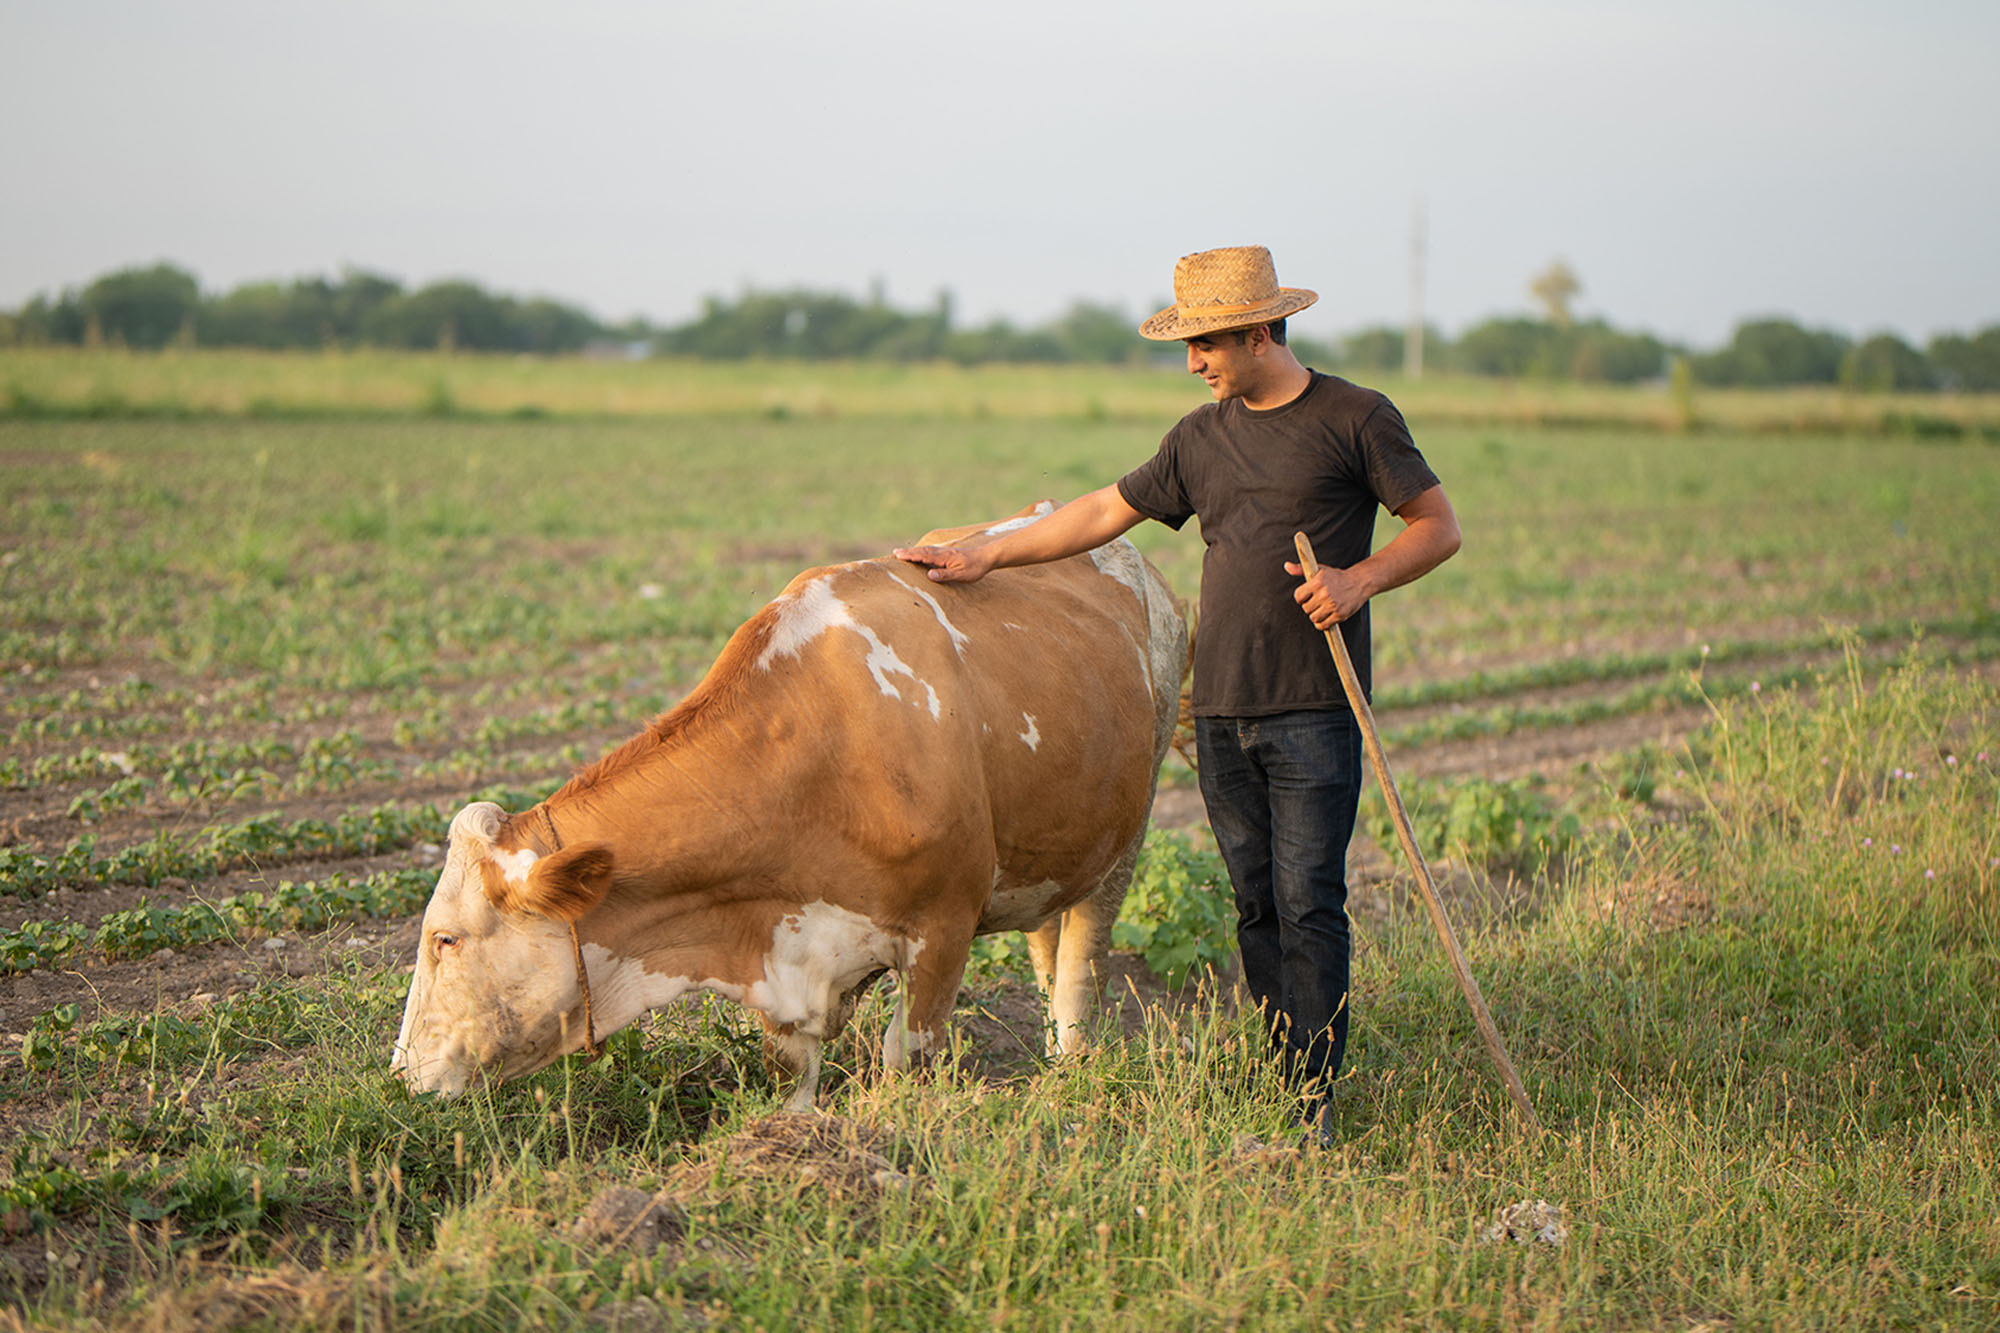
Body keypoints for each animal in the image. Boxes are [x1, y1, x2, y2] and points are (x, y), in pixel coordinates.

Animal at [392, 503, 1188, 1110]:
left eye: (445, 939)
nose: (400, 1073)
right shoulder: (775, 960)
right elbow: (793, 1081)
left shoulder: (942, 932)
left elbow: (905, 1056)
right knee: (1048, 937)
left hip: (1131, 825)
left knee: (1082, 958)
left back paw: (1071, 1064)